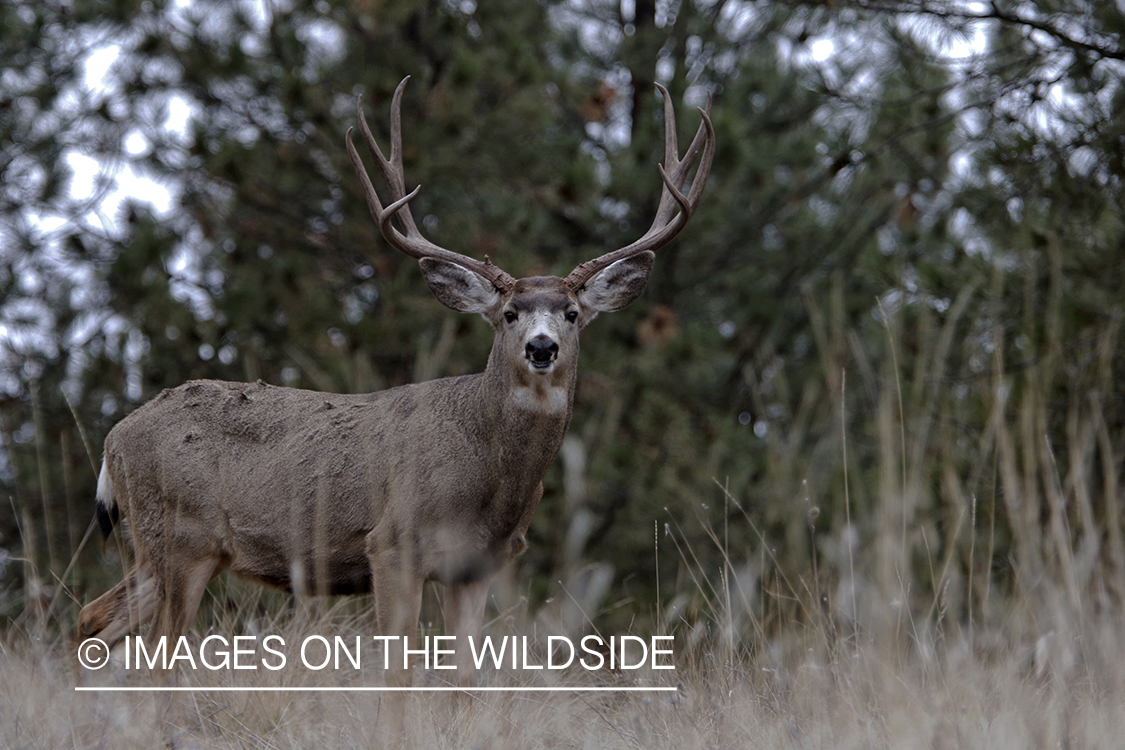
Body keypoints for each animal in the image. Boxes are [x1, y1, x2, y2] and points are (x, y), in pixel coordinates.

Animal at [79, 76, 711, 715]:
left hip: (168, 547)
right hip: (180, 537)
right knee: (156, 655)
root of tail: (115, 437)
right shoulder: (391, 544)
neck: (487, 475)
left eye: (573, 313)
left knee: (95, 617)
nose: (541, 347)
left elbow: (464, 682)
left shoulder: (478, 566)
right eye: (508, 313)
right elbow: (397, 677)